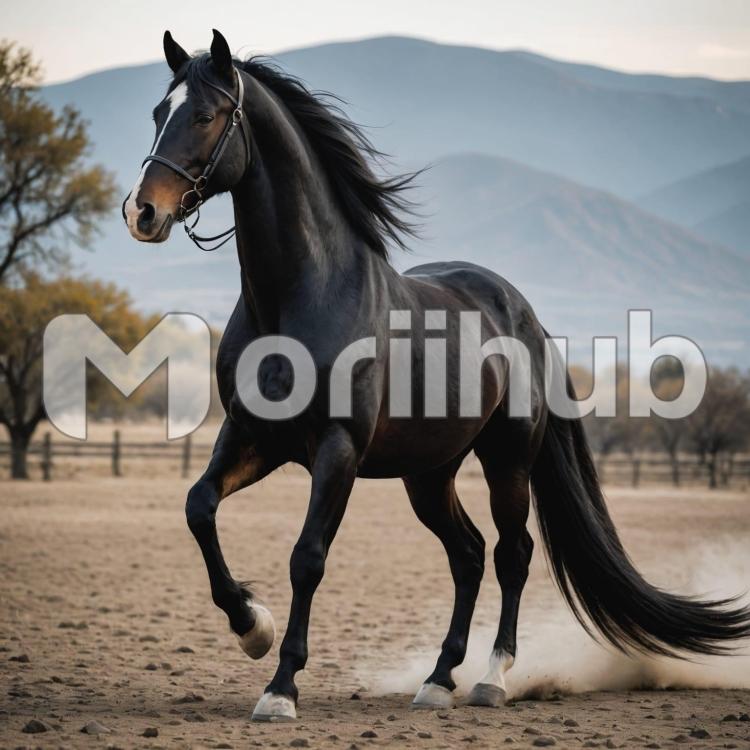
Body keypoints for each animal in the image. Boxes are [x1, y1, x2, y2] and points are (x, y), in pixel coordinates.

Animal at [123, 29, 750, 721]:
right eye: (158, 113)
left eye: (206, 115)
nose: (142, 213)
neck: (298, 297)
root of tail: (523, 313)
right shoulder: (252, 438)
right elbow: (199, 507)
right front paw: (252, 626)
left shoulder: (337, 450)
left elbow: (307, 558)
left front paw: (281, 687)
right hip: (428, 474)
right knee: (468, 554)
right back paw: (437, 679)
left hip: (507, 460)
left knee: (510, 554)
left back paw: (491, 679)